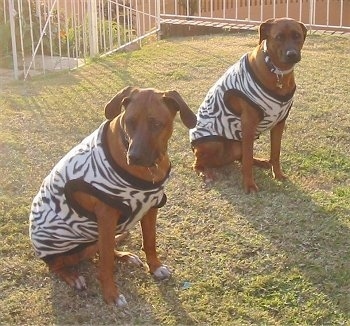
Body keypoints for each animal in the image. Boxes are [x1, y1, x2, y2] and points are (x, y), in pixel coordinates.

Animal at [29, 86, 197, 306]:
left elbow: (149, 242)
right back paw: (72, 276)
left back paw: (124, 255)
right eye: (129, 121)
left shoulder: (150, 206)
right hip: (59, 247)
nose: (134, 157)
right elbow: (106, 263)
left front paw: (155, 267)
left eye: (156, 124)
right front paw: (111, 294)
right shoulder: (107, 217)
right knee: (57, 266)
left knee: (101, 249)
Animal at [189, 17, 306, 194]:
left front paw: (277, 174)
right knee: (198, 163)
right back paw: (205, 172)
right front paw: (249, 184)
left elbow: (275, 153)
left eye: (297, 35)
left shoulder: (280, 122)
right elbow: (248, 161)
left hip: (238, 145)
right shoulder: (249, 124)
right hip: (212, 143)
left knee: (243, 156)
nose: (291, 54)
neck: (277, 72)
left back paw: (260, 162)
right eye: (278, 37)